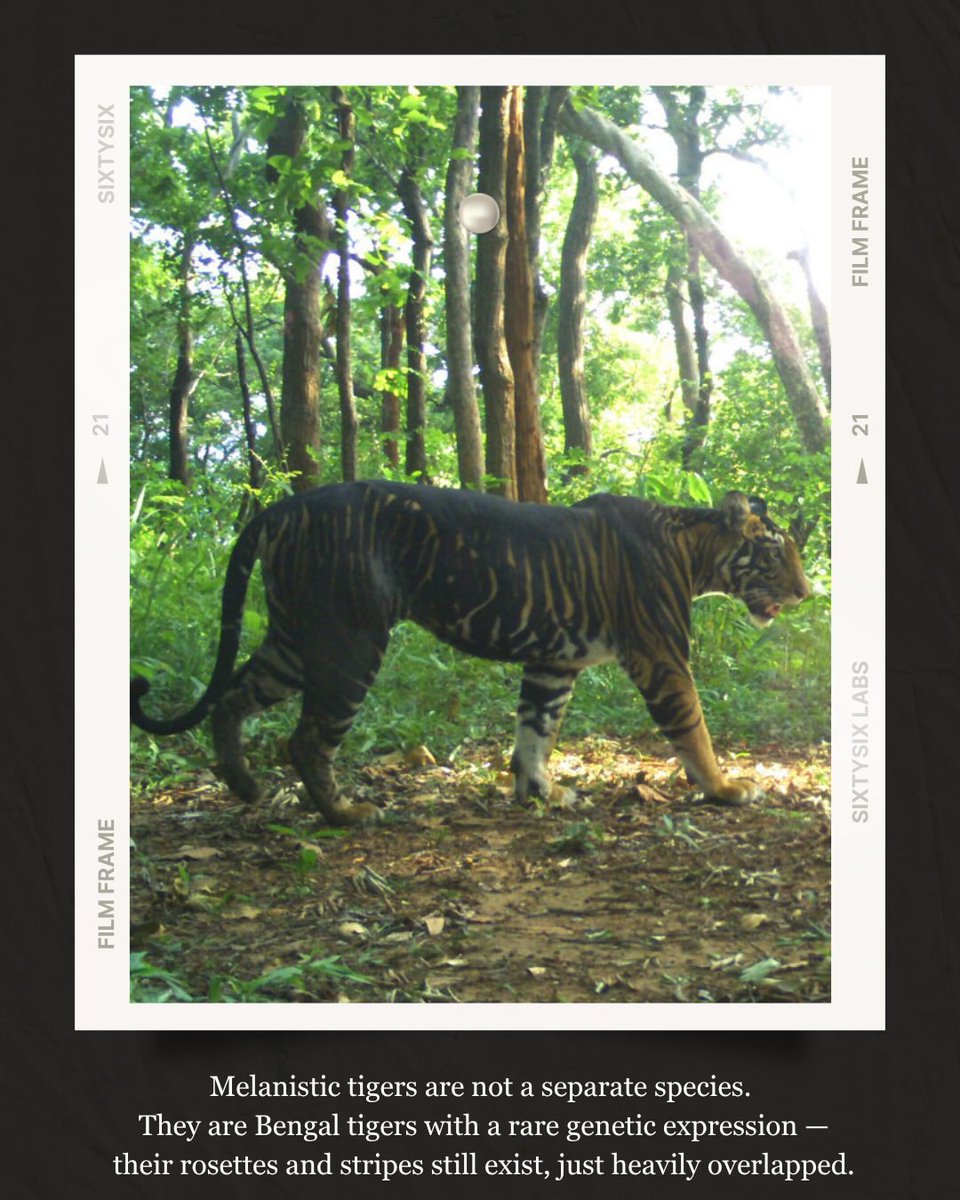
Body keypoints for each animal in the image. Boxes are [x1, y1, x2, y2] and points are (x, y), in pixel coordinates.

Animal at [131, 480, 810, 826]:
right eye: (776, 553)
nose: (806, 593)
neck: (695, 553)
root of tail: (287, 502)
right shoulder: (663, 656)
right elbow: (693, 728)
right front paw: (725, 788)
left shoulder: (553, 664)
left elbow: (536, 732)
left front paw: (540, 793)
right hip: (349, 642)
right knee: (305, 739)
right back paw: (346, 812)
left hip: (297, 639)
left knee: (233, 699)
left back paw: (243, 784)